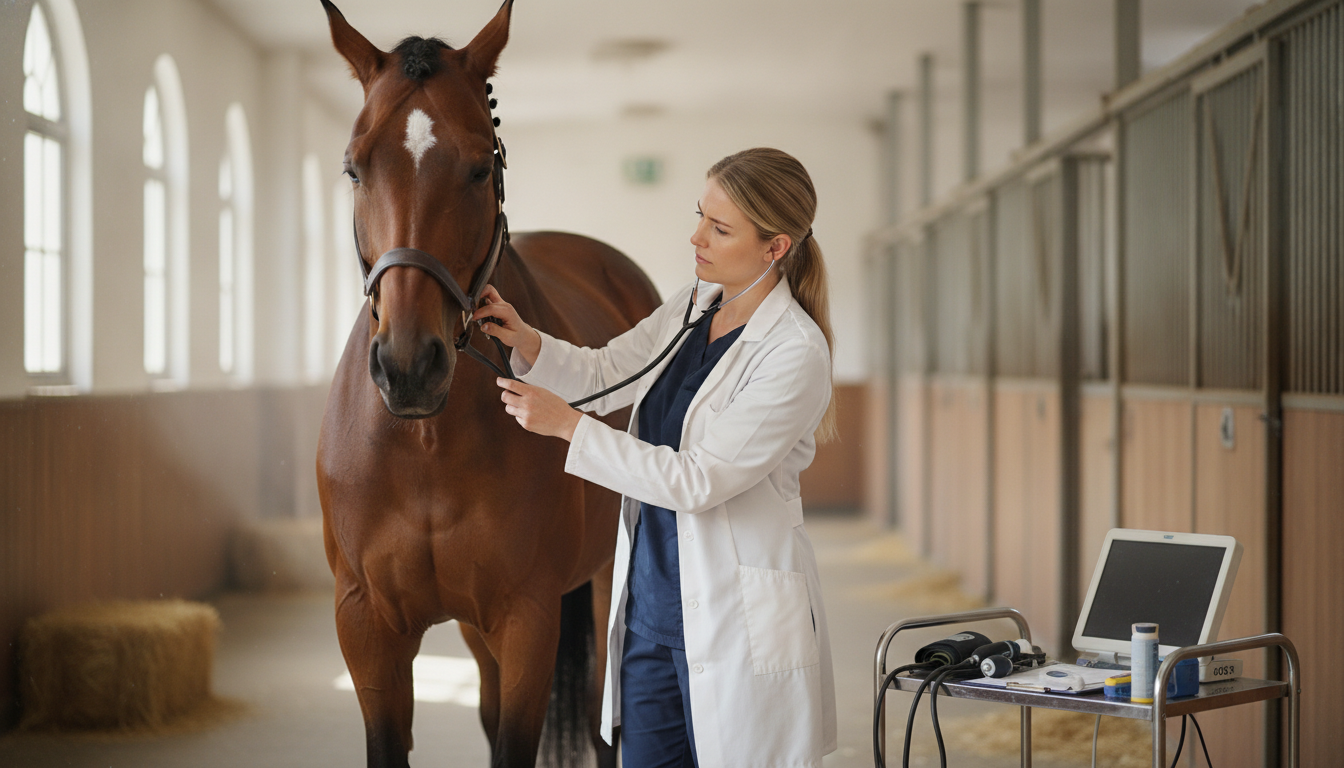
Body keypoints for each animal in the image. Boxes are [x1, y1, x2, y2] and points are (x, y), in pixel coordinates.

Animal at [314, 2, 661, 766]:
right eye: (355, 169)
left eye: (479, 168)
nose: (409, 366)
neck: (426, 445)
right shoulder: (366, 625)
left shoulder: (527, 617)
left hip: (599, 580)